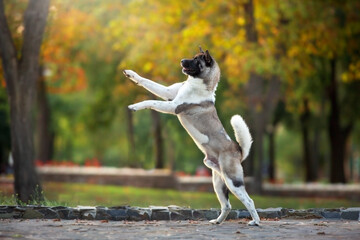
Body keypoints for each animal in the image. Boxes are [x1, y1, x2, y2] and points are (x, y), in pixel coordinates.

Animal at [123, 47, 258, 226]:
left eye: (196, 60)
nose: (181, 60)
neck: (198, 83)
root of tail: (239, 150)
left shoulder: (172, 106)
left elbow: (150, 101)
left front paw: (135, 106)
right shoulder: (168, 93)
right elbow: (147, 81)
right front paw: (131, 74)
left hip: (233, 181)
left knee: (249, 201)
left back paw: (255, 222)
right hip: (218, 182)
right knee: (227, 205)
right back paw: (217, 221)